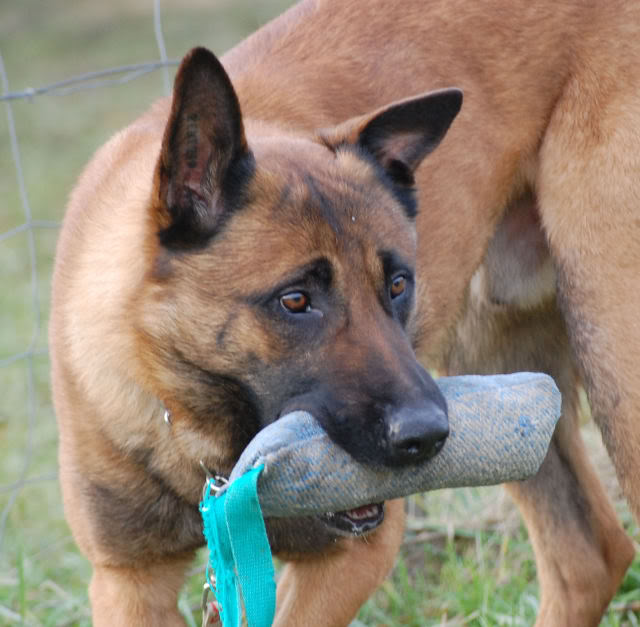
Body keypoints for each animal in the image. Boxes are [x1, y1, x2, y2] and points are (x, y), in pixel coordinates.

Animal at [51, 0, 640, 624]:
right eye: (295, 301)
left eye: (399, 285)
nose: (427, 436)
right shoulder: (130, 580)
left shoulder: (352, 556)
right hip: (493, 356)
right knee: (588, 557)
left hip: (612, 371)